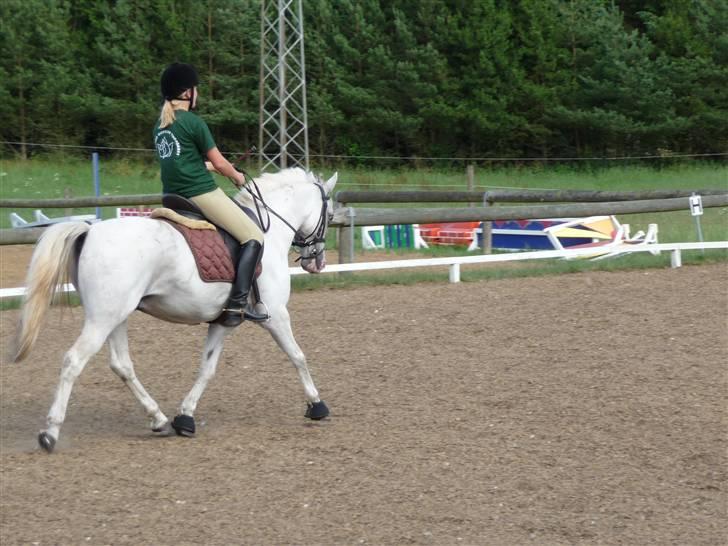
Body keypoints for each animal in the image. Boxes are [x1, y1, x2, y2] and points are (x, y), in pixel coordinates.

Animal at [13, 167, 338, 450]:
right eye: (331, 214)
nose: (317, 262)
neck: (268, 231)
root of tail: (89, 231)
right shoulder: (276, 314)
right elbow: (297, 355)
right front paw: (317, 405)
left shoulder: (223, 321)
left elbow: (207, 369)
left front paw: (185, 417)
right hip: (102, 319)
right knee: (73, 361)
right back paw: (50, 432)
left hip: (115, 316)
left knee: (121, 365)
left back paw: (158, 419)